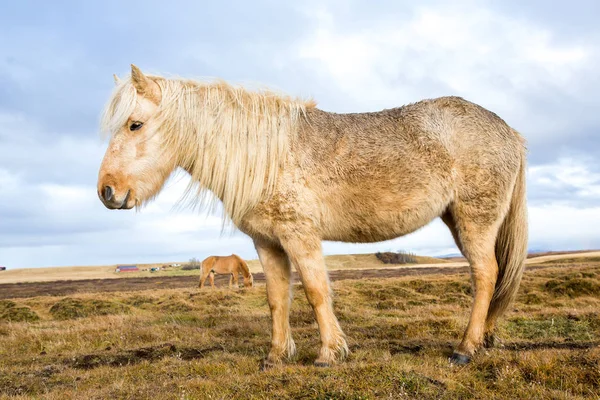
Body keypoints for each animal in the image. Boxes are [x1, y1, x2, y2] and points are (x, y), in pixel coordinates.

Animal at [96, 65, 528, 368]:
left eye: (135, 124)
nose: (106, 192)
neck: (266, 156)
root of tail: (510, 132)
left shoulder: (299, 236)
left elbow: (317, 291)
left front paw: (328, 354)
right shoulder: (267, 242)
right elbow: (276, 298)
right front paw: (275, 356)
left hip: (475, 220)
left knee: (486, 274)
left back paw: (466, 348)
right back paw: (485, 338)